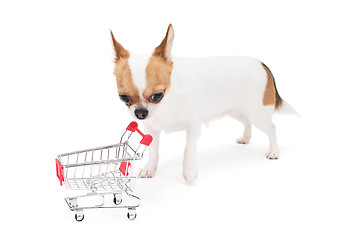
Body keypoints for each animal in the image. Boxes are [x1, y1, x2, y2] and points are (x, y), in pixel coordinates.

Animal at [110, 24, 296, 183]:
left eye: (157, 96)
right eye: (124, 97)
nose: (140, 113)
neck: (168, 102)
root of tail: (263, 64)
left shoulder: (193, 127)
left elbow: (188, 149)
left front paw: (189, 172)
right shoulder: (151, 129)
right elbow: (153, 150)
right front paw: (150, 168)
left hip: (258, 112)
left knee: (271, 128)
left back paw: (274, 151)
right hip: (238, 111)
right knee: (247, 122)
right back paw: (246, 138)